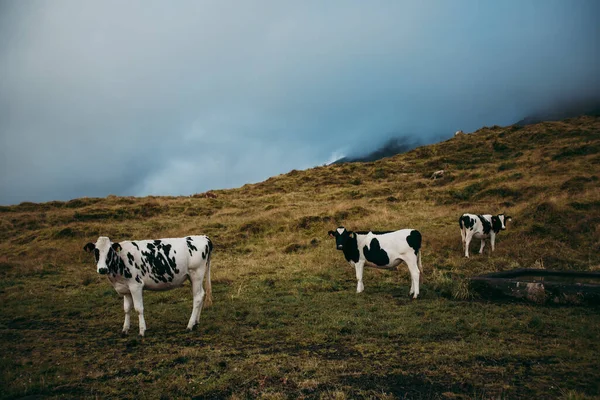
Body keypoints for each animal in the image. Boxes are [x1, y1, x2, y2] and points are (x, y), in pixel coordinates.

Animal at [82, 236, 213, 336]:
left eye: (110, 252)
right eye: (96, 252)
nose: (102, 269)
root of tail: (203, 237)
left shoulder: (136, 285)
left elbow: (138, 308)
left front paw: (142, 331)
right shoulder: (126, 289)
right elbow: (126, 309)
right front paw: (125, 329)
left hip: (196, 274)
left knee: (197, 297)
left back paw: (190, 325)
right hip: (193, 277)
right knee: (201, 294)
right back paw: (196, 322)